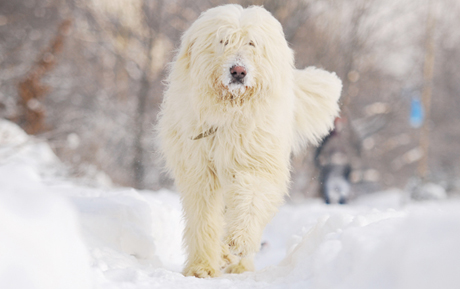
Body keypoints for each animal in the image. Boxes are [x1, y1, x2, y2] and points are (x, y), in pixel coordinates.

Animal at [157, 4, 342, 276]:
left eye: (252, 43)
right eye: (223, 41)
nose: (238, 71)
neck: (228, 114)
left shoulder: (255, 162)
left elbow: (251, 200)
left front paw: (238, 242)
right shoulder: (200, 174)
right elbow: (205, 219)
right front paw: (202, 266)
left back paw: (239, 263)